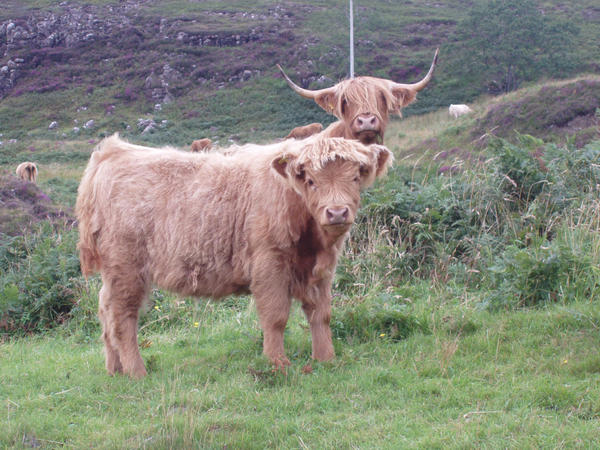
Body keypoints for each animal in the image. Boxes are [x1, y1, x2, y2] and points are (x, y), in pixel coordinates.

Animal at [76, 133, 394, 376]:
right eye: (311, 181)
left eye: (355, 177)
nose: (337, 212)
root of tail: (113, 152)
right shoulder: (269, 263)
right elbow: (275, 317)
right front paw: (278, 363)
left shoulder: (320, 269)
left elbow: (321, 314)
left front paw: (326, 359)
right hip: (126, 267)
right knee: (122, 317)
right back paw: (136, 371)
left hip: (114, 274)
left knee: (105, 311)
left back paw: (115, 369)